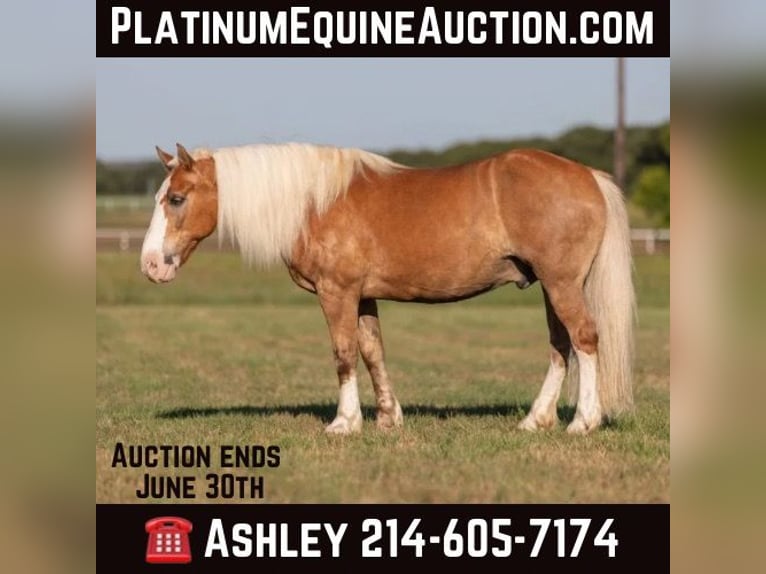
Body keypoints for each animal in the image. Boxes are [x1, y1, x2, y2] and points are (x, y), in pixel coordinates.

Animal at [141, 142, 634, 435]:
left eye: (177, 199)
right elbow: (372, 350)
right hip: (551, 286)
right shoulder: (363, 296)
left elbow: (343, 353)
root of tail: (588, 175)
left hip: (562, 283)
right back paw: (536, 419)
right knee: (560, 346)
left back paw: (583, 422)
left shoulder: (337, 292)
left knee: (584, 339)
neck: (314, 202)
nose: (150, 265)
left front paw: (345, 422)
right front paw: (387, 417)